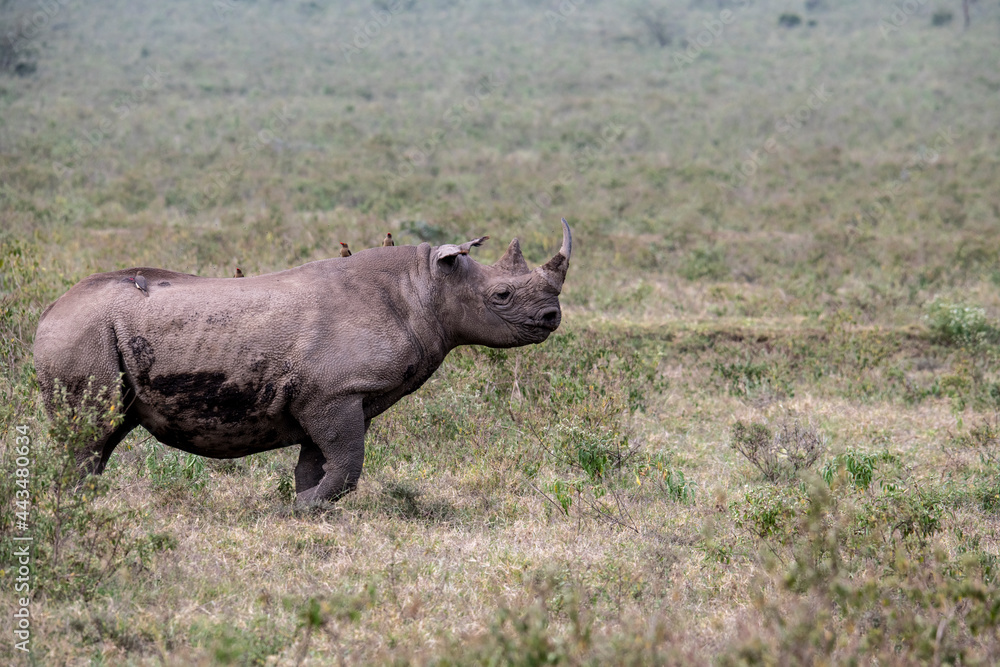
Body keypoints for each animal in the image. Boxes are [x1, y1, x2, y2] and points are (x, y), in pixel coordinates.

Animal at [33, 220, 572, 504]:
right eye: (501, 295)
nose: (552, 316)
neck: (425, 286)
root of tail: (49, 310)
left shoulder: (329, 393)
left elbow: (320, 459)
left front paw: (302, 504)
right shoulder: (336, 392)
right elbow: (348, 462)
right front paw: (306, 508)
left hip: (89, 331)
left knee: (105, 431)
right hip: (82, 332)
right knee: (92, 429)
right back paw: (77, 505)